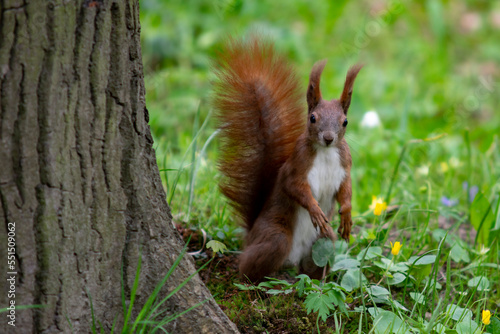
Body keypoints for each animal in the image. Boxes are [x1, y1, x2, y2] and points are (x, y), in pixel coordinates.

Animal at [213, 36, 362, 282]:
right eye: (312, 118)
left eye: (345, 121)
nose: (329, 138)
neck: (325, 152)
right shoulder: (297, 166)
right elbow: (294, 187)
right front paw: (314, 209)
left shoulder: (345, 166)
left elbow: (346, 189)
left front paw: (347, 214)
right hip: (276, 236)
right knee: (248, 266)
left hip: (320, 243)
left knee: (318, 255)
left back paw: (313, 280)